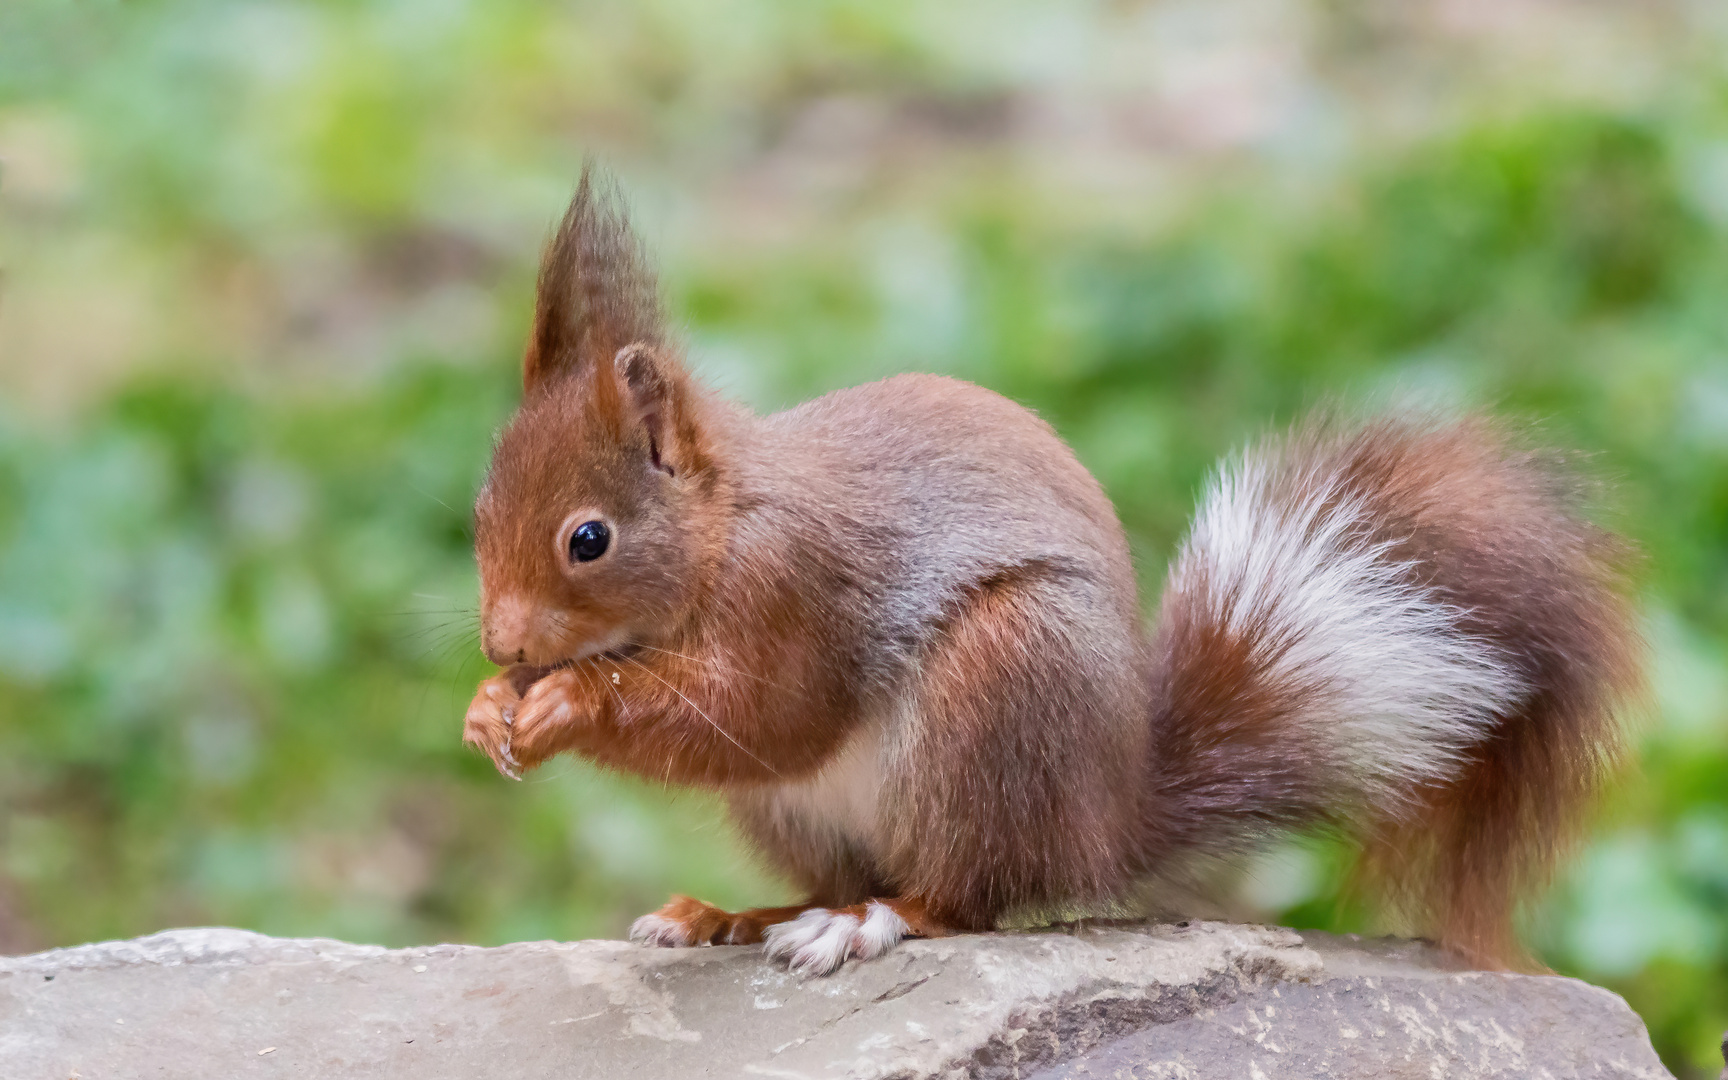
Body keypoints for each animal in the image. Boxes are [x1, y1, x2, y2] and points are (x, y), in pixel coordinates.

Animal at [463, 170, 1645, 974]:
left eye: (588, 539)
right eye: (477, 511)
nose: (503, 642)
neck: (720, 529)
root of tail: (1105, 821)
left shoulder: (795, 592)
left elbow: (758, 712)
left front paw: (567, 702)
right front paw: (489, 708)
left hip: (998, 696)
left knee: (966, 899)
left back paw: (865, 923)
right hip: (801, 813)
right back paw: (734, 917)